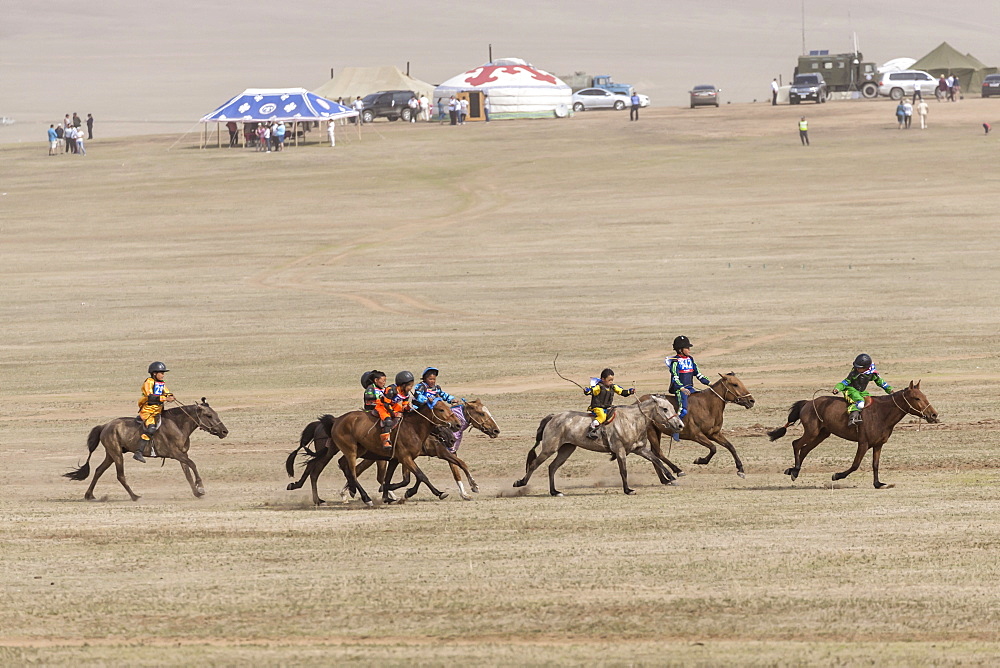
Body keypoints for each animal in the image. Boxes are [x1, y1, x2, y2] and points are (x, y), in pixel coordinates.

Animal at [64, 396, 230, 500]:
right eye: (209, 415)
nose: (224, 431)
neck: (177, 425)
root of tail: (105, 425)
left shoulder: (182, 455)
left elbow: (188, 473)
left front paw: (196, 492)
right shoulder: (175, 453)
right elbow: (193, 465)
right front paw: (200, 487)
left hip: (111, 455)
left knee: (99, 470)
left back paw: (89, 495)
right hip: (116, 454)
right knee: (120, 475)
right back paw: (134, 496)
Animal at [516, 396, 688, 496]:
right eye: (665, 409)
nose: (680, 425)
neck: (632, 421)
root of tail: (553, 417)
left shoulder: (639, 449)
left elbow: (656, 460)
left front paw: (672, 477)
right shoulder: (620, 451)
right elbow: (623, 470)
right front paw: (628, 490)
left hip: (566, 449)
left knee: (552, 467)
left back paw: (554, 491)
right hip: (549, 449)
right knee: (534, 464)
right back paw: (520, 483)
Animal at [764, 380, 936, 490]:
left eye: (925, 396)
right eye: (916, 397)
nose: (933, 415)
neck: (881, 413)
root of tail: (807, 403)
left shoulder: (878, 445)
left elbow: (875, 464)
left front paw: (878, 484)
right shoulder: (863, 443)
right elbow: (855, 465)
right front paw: (837, 475)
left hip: (822, 434)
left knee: (804, 449)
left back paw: (794, 470)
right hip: (812, 432)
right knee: (796, 444)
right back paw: (794, 471)